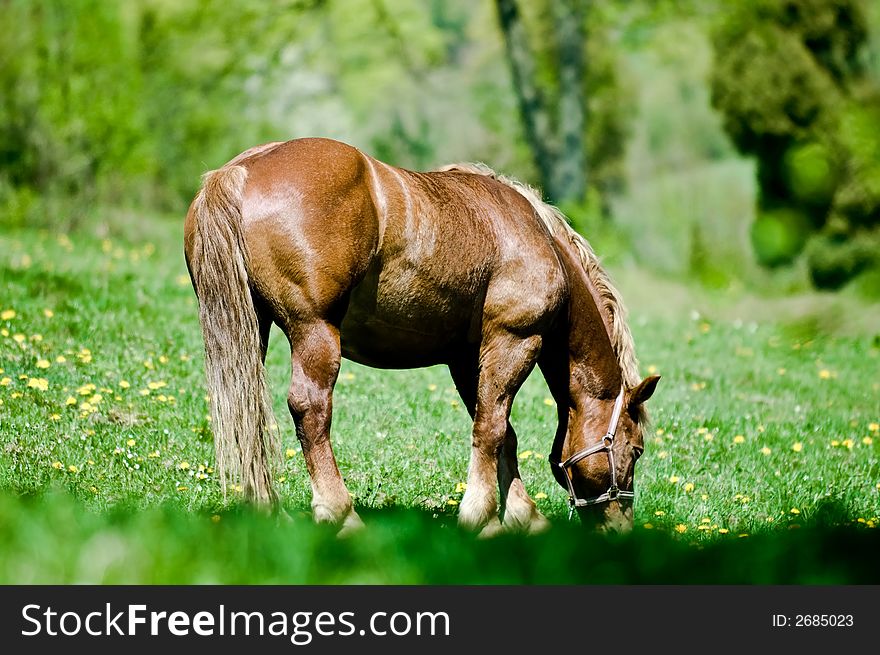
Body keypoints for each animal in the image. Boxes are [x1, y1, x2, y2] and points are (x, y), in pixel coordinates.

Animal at [182, 136, 656, 536]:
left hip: (251, 329)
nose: (622, 527)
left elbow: (501, 432)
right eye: (635, 450)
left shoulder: (467, 359)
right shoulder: (514, 341)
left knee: (246, 405)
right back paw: (341, 514)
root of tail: (240, 170)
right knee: (309, 410)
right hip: (314, 331)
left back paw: (264, 512)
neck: (538, 240)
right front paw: (482, 517)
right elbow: (491, 427)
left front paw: (520, 518)